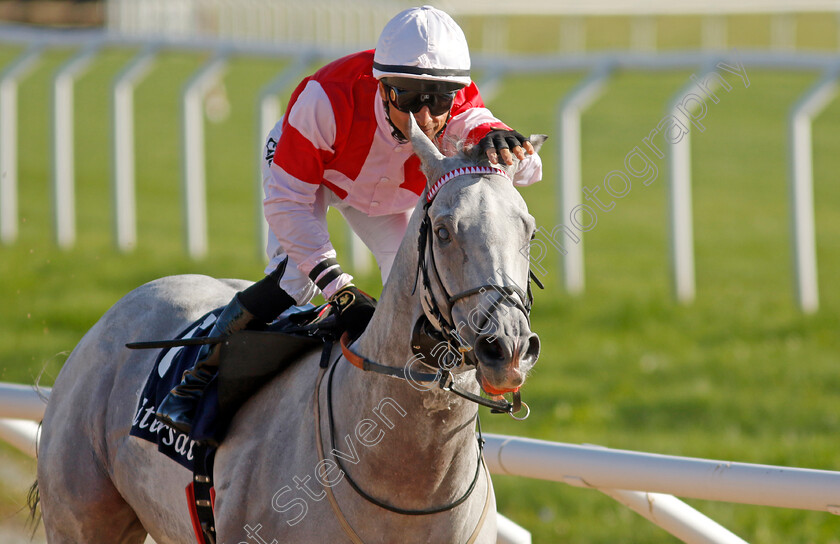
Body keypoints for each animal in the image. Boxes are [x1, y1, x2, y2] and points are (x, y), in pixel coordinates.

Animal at [34, 117, 544, 540]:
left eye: (530, 231)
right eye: (443, 231)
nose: (507, 347)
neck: (406, 481)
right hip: (83, 518)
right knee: (286, 275)